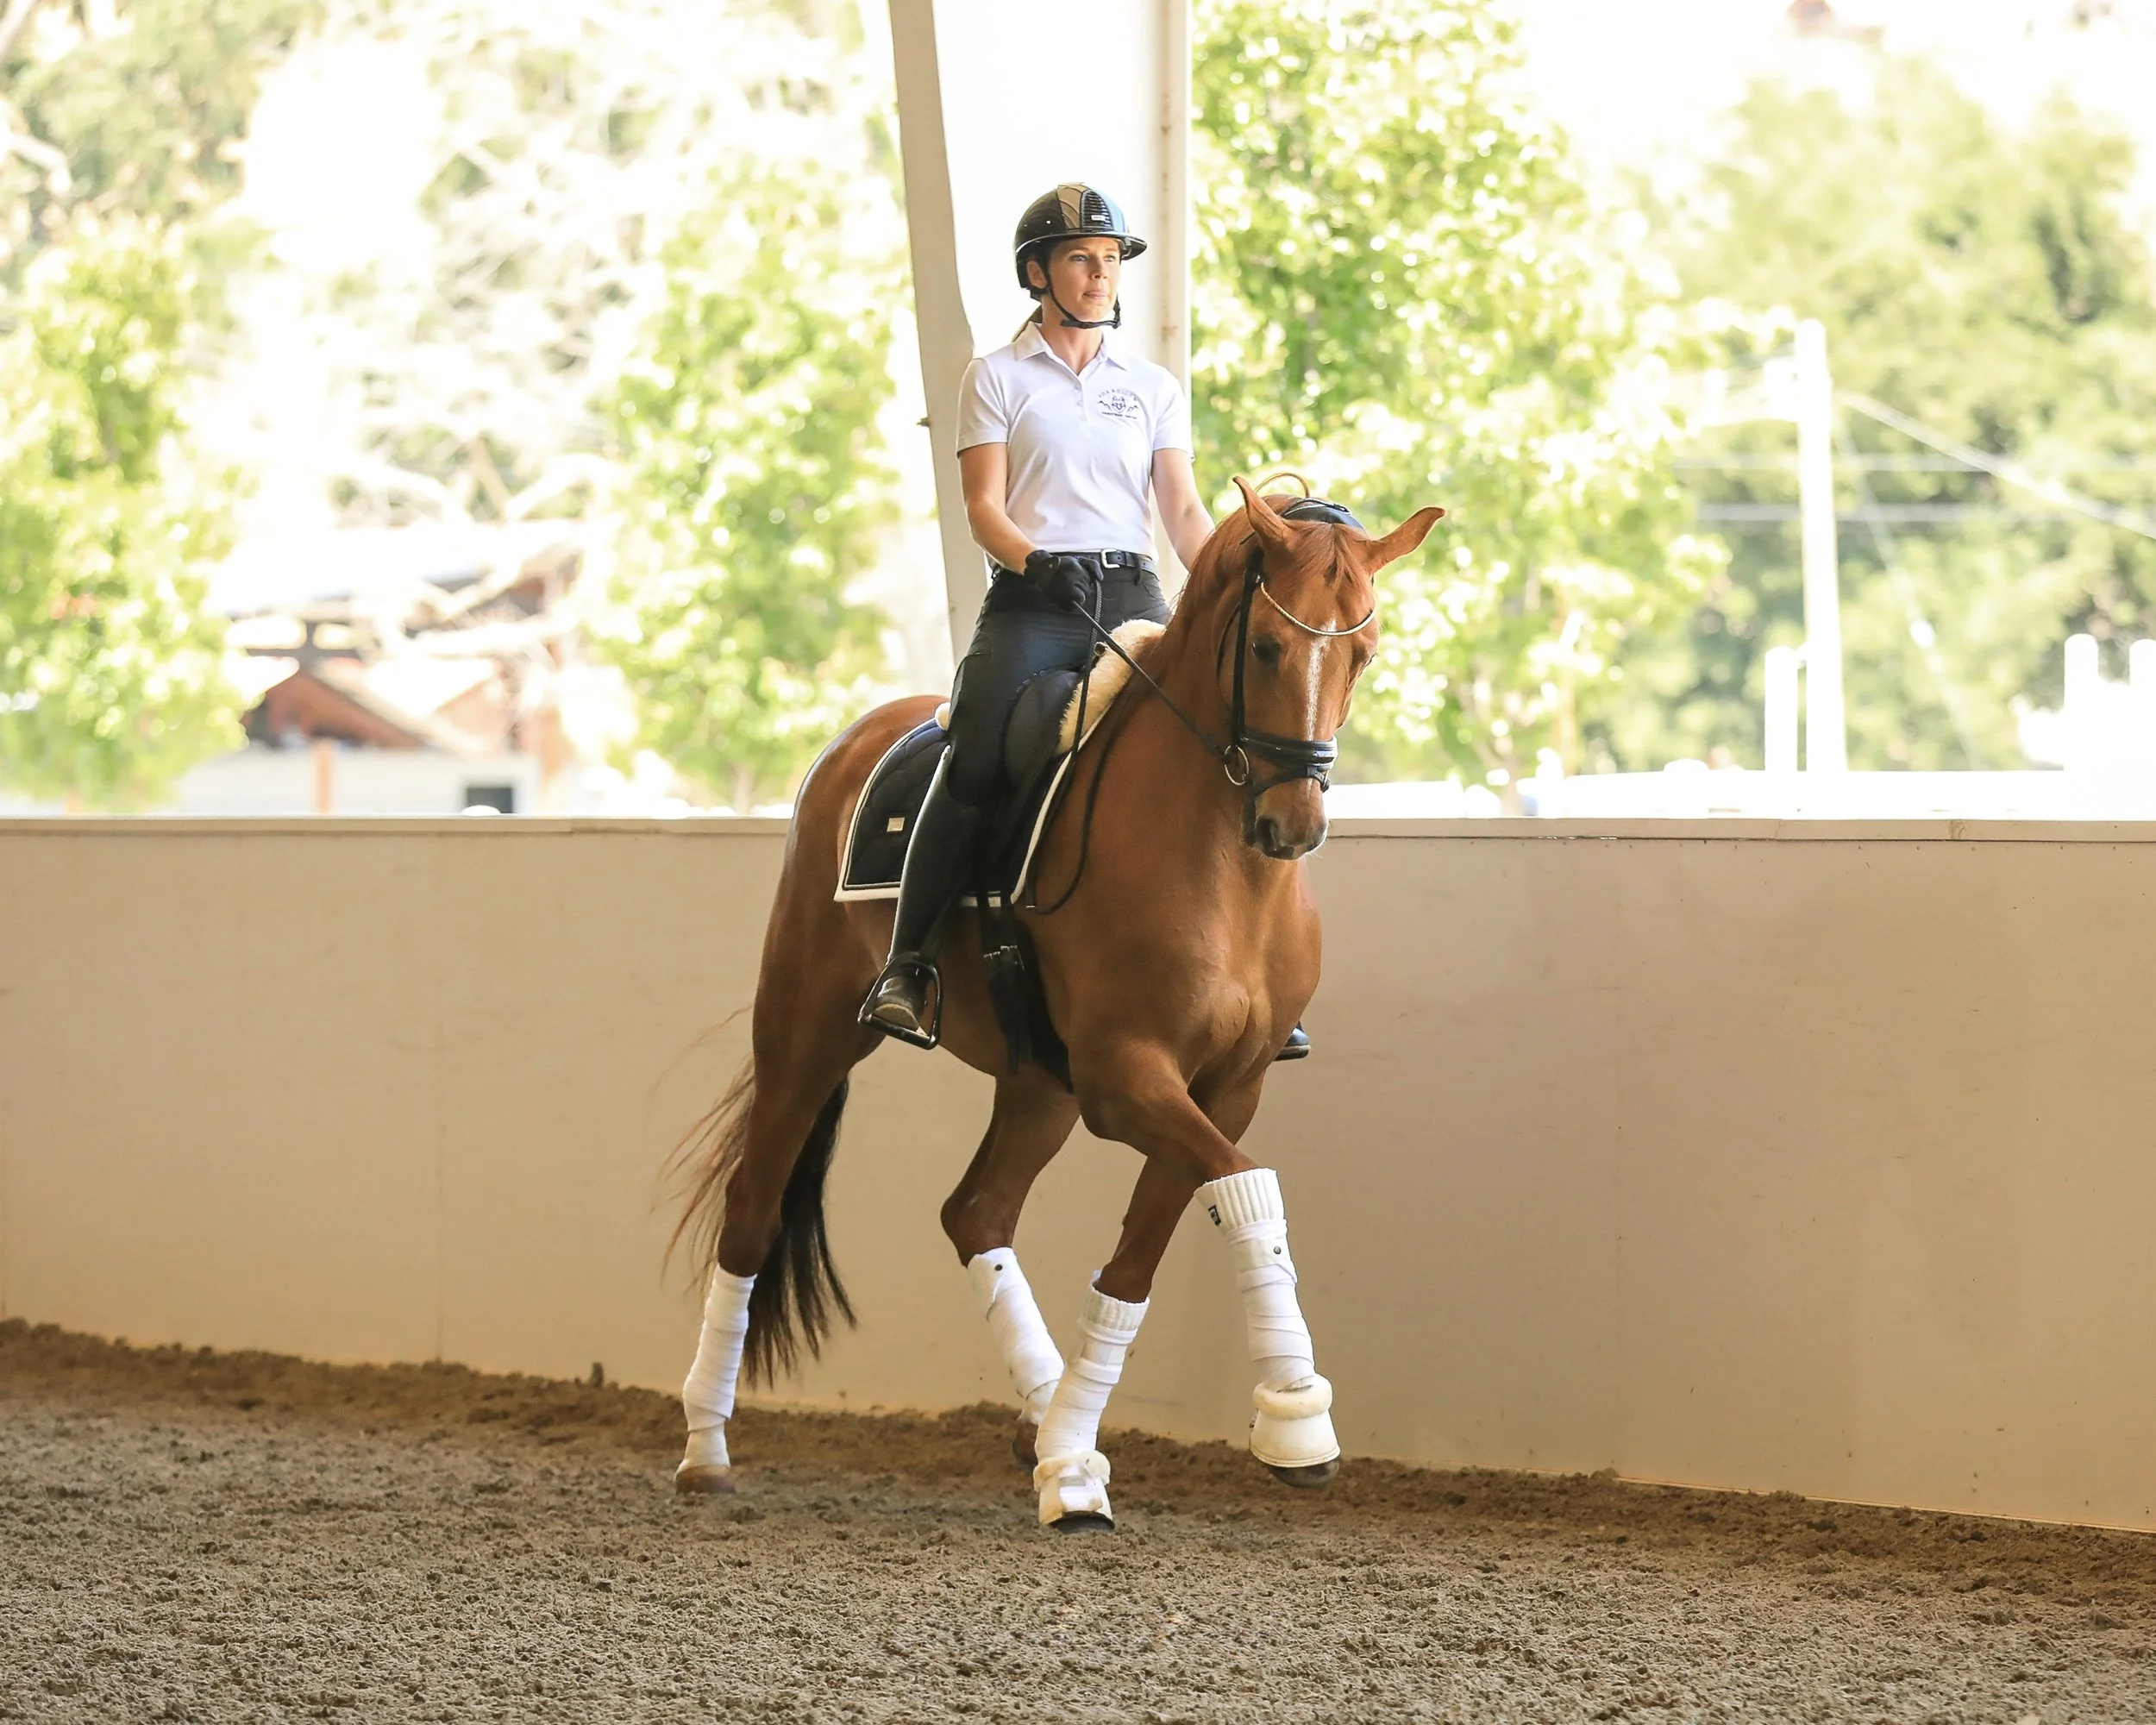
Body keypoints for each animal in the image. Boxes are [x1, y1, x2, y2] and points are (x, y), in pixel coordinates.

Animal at [670, 475, 1443, 1531]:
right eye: (1264, 648)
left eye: (1363, 652)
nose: (1292, 824)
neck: (1222, 866)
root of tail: (859, 736)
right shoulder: (1126, 1078)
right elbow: (1245, 1188)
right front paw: (1296, 1416)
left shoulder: (1222, 1088)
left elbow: (1152, 1248)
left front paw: (1076, 1456)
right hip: (807, 1028)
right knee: (752, 1211)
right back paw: (704, 1447)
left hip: (1040, 1083)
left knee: (976, 1211)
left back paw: (1046, 1424)